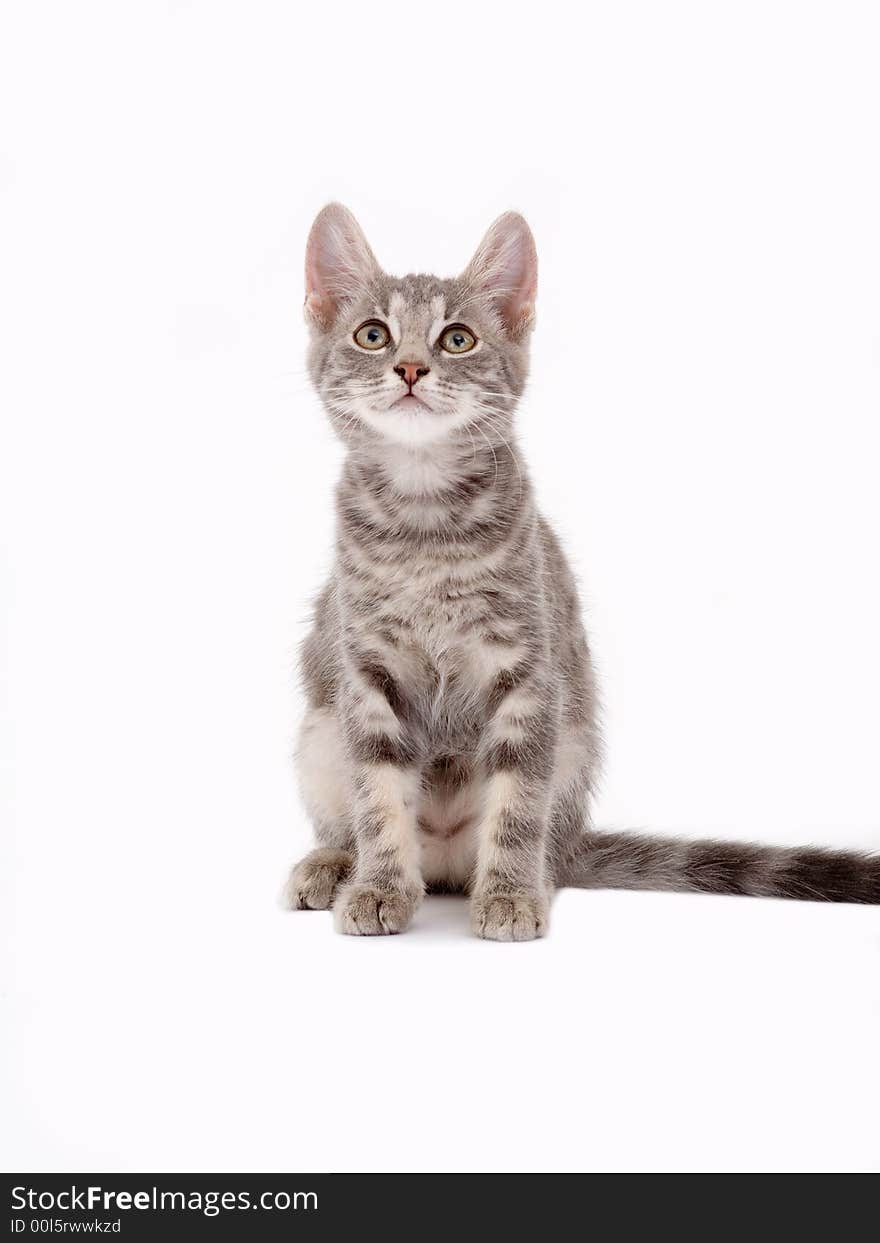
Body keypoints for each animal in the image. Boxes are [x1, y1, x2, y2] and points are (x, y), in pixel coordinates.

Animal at [285, 206, 875, 939]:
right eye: (372, 334)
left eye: (457, 339)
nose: (412, 367)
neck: (426, 523)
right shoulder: (366, 670)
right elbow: (377, 797)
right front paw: (379, 886)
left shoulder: (528, 669)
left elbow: (517, 802)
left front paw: (509, 893)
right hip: (317, 733)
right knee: (344, 815)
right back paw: (334, 864)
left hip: (572, 748)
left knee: (542, 835)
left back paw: (528, 876)